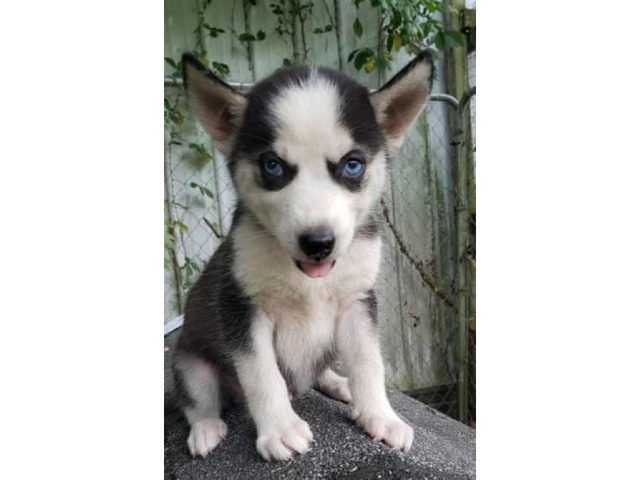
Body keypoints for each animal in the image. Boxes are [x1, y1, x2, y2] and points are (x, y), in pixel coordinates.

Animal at [174, 51, 436, 462]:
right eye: (272, 165)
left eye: (352, 164)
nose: (318, 243)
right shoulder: (241, 305)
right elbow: (262, 374)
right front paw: (280, 429)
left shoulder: (358, 301)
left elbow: (369, 363)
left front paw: (381, 416)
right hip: (188, 360)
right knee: (198, 399)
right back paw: (205, 429)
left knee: (321, 370)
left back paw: (339, 384)